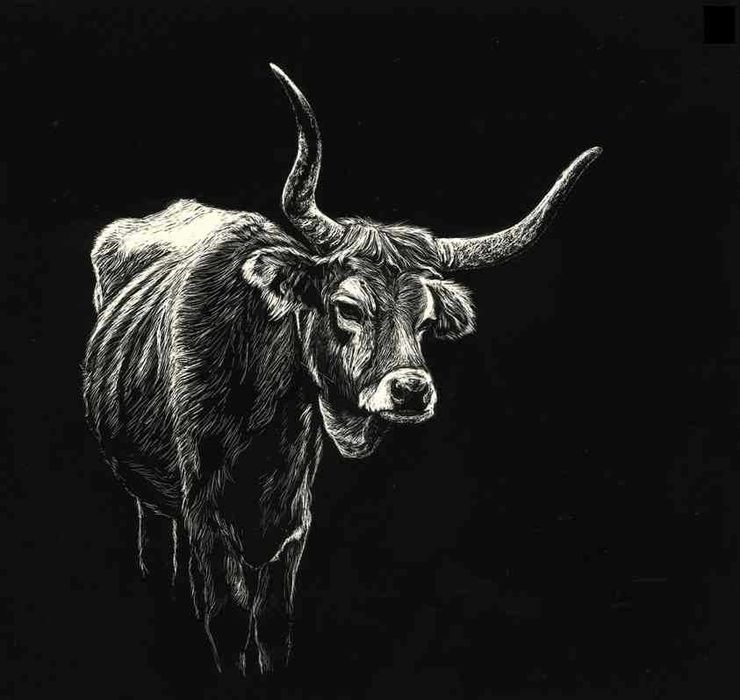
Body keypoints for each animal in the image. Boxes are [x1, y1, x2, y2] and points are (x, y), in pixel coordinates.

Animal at [83, 63, 601, 674]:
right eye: (347, 306)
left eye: (426, 320)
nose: (411, 391)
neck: (262, 420)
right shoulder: (206, 521)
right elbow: (226, 621)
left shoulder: (291, 525)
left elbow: (273, 626)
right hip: (149, 497)